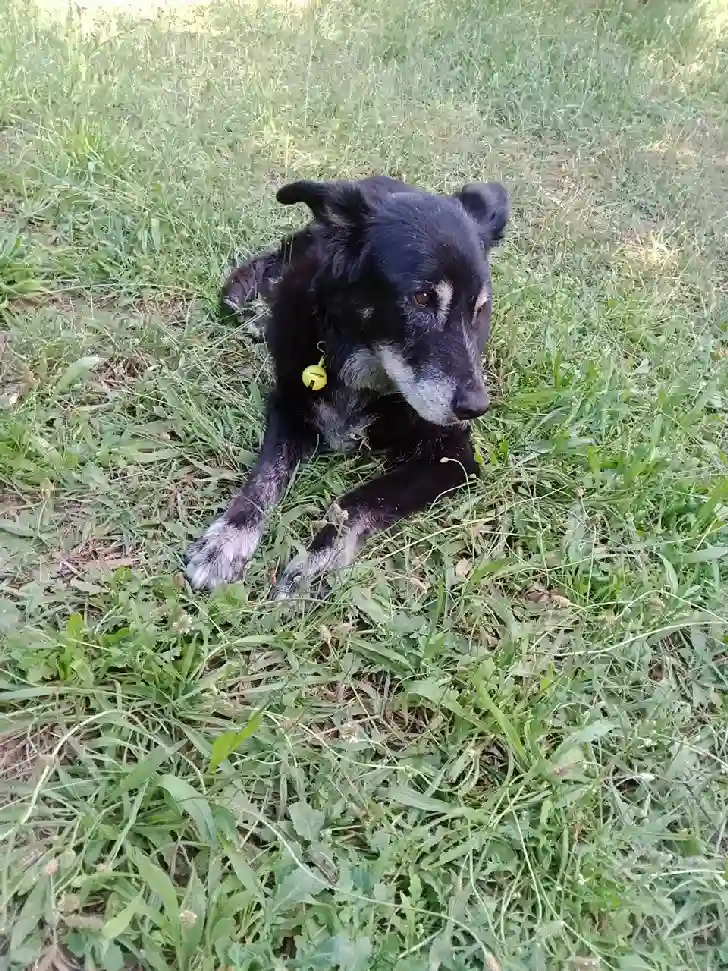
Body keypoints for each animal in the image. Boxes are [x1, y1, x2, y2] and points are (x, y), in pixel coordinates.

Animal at [185, 178, 510, 596]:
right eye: (422, 297)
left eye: (480, 309)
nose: (476, 407)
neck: (365, 367)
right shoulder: (287, 406)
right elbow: (264, 478)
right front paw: (227, 539)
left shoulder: (455, 456)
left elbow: (357, 502)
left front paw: (315, 564)